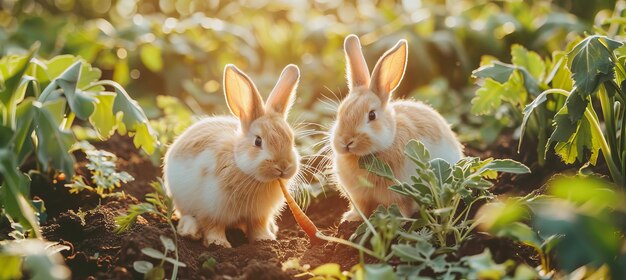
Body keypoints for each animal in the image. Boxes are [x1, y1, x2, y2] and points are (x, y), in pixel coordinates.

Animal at [163, 63, 300, 247]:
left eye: (291, 139)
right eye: (258, 141)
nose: (283, 166)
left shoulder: (258, 215)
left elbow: (258, 226)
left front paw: (265, 240)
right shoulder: (212, 208)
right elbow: (213, 226)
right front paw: (219, 244)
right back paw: (190, 231)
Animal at [330, 34, 460, 221]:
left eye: (372, 115)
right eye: (340, 113)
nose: (346, 141)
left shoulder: (400, 194)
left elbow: (401, 207)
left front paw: (395, 218)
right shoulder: (359, 196)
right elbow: (360, 207)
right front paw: (350, 218)